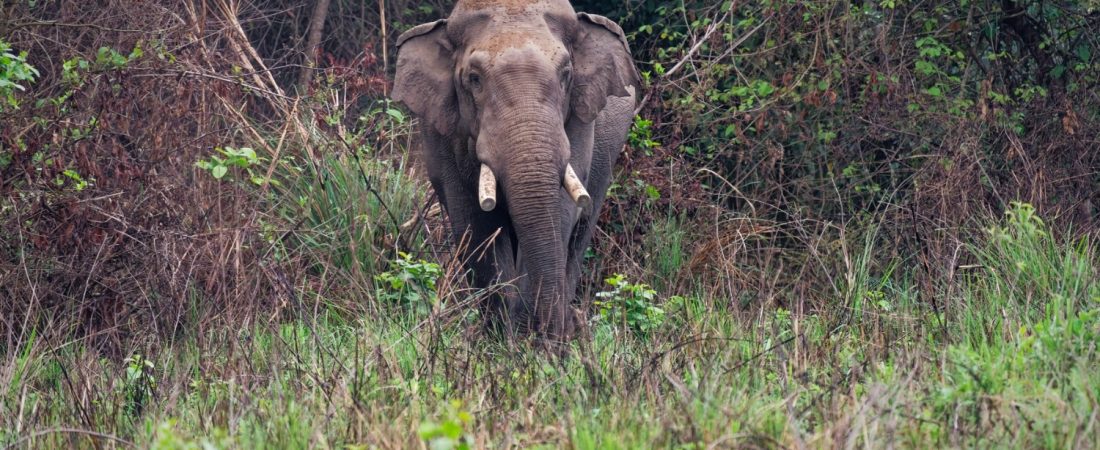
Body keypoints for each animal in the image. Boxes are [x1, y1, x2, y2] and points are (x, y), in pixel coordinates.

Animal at [392, 0, 640, 343]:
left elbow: (560, 212)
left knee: (580, 233)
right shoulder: (442, 131)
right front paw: (502, 339)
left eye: (566, 75)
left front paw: (534, 339)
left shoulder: (579, 121)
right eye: (474, 79)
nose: (551, 338)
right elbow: (474, 221)